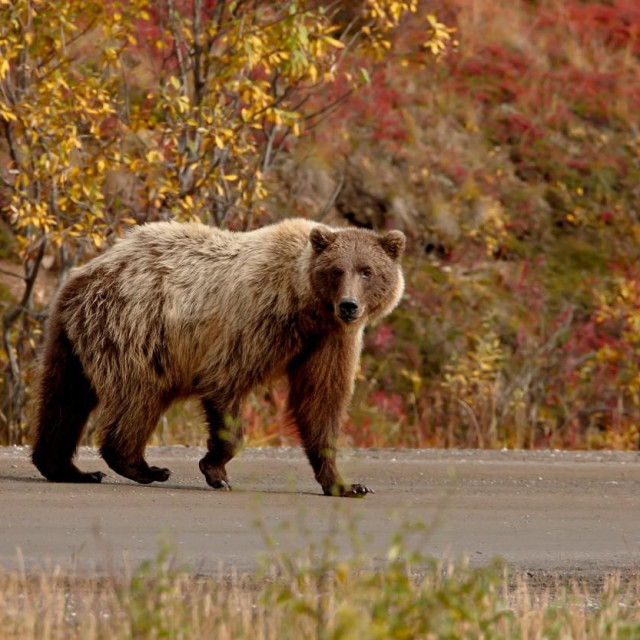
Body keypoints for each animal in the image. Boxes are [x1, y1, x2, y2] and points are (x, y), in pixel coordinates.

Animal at [31, 219, 404, 496]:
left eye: (367, 270)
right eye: (337, 270)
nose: (349, 306)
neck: (306, 306)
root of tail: (86, 272)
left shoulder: (329, 341)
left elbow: (321, 400)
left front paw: (346, 484)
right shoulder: (256, 321)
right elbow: (226, 382)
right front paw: (216, 471)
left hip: (70, 339)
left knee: (65, 398)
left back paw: (67, 468)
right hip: (136, 330)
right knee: (138, 396)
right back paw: (144, 466)